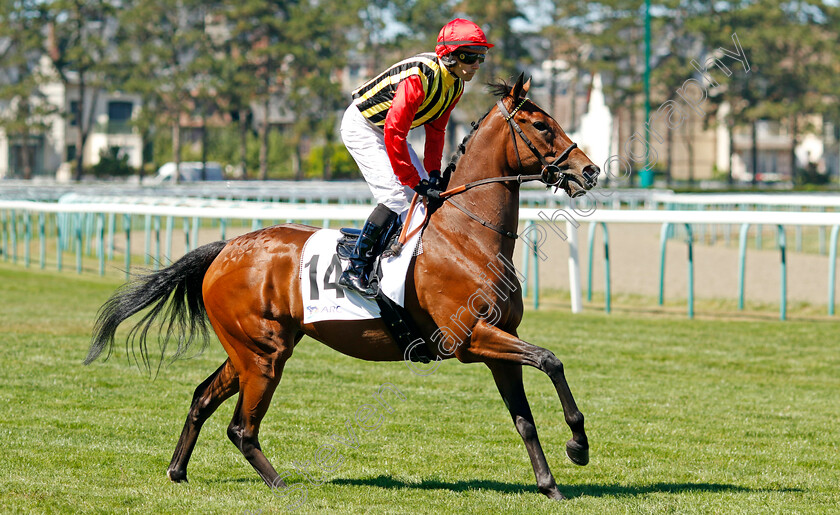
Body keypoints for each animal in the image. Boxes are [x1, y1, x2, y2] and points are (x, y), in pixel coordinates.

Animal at [83, 74, 596, 502]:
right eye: (541, 124)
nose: (589, 171)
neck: (466, 235)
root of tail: (227, 247)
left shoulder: (499, 342)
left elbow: (525, 419)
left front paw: (550, 484)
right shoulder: (470, 338)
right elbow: (551, 360)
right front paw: (578, 444)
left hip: (248, 350)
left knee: (202, 398)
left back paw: (177, 471)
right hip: (264, 355)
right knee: (242, 428)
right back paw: (280, 484)